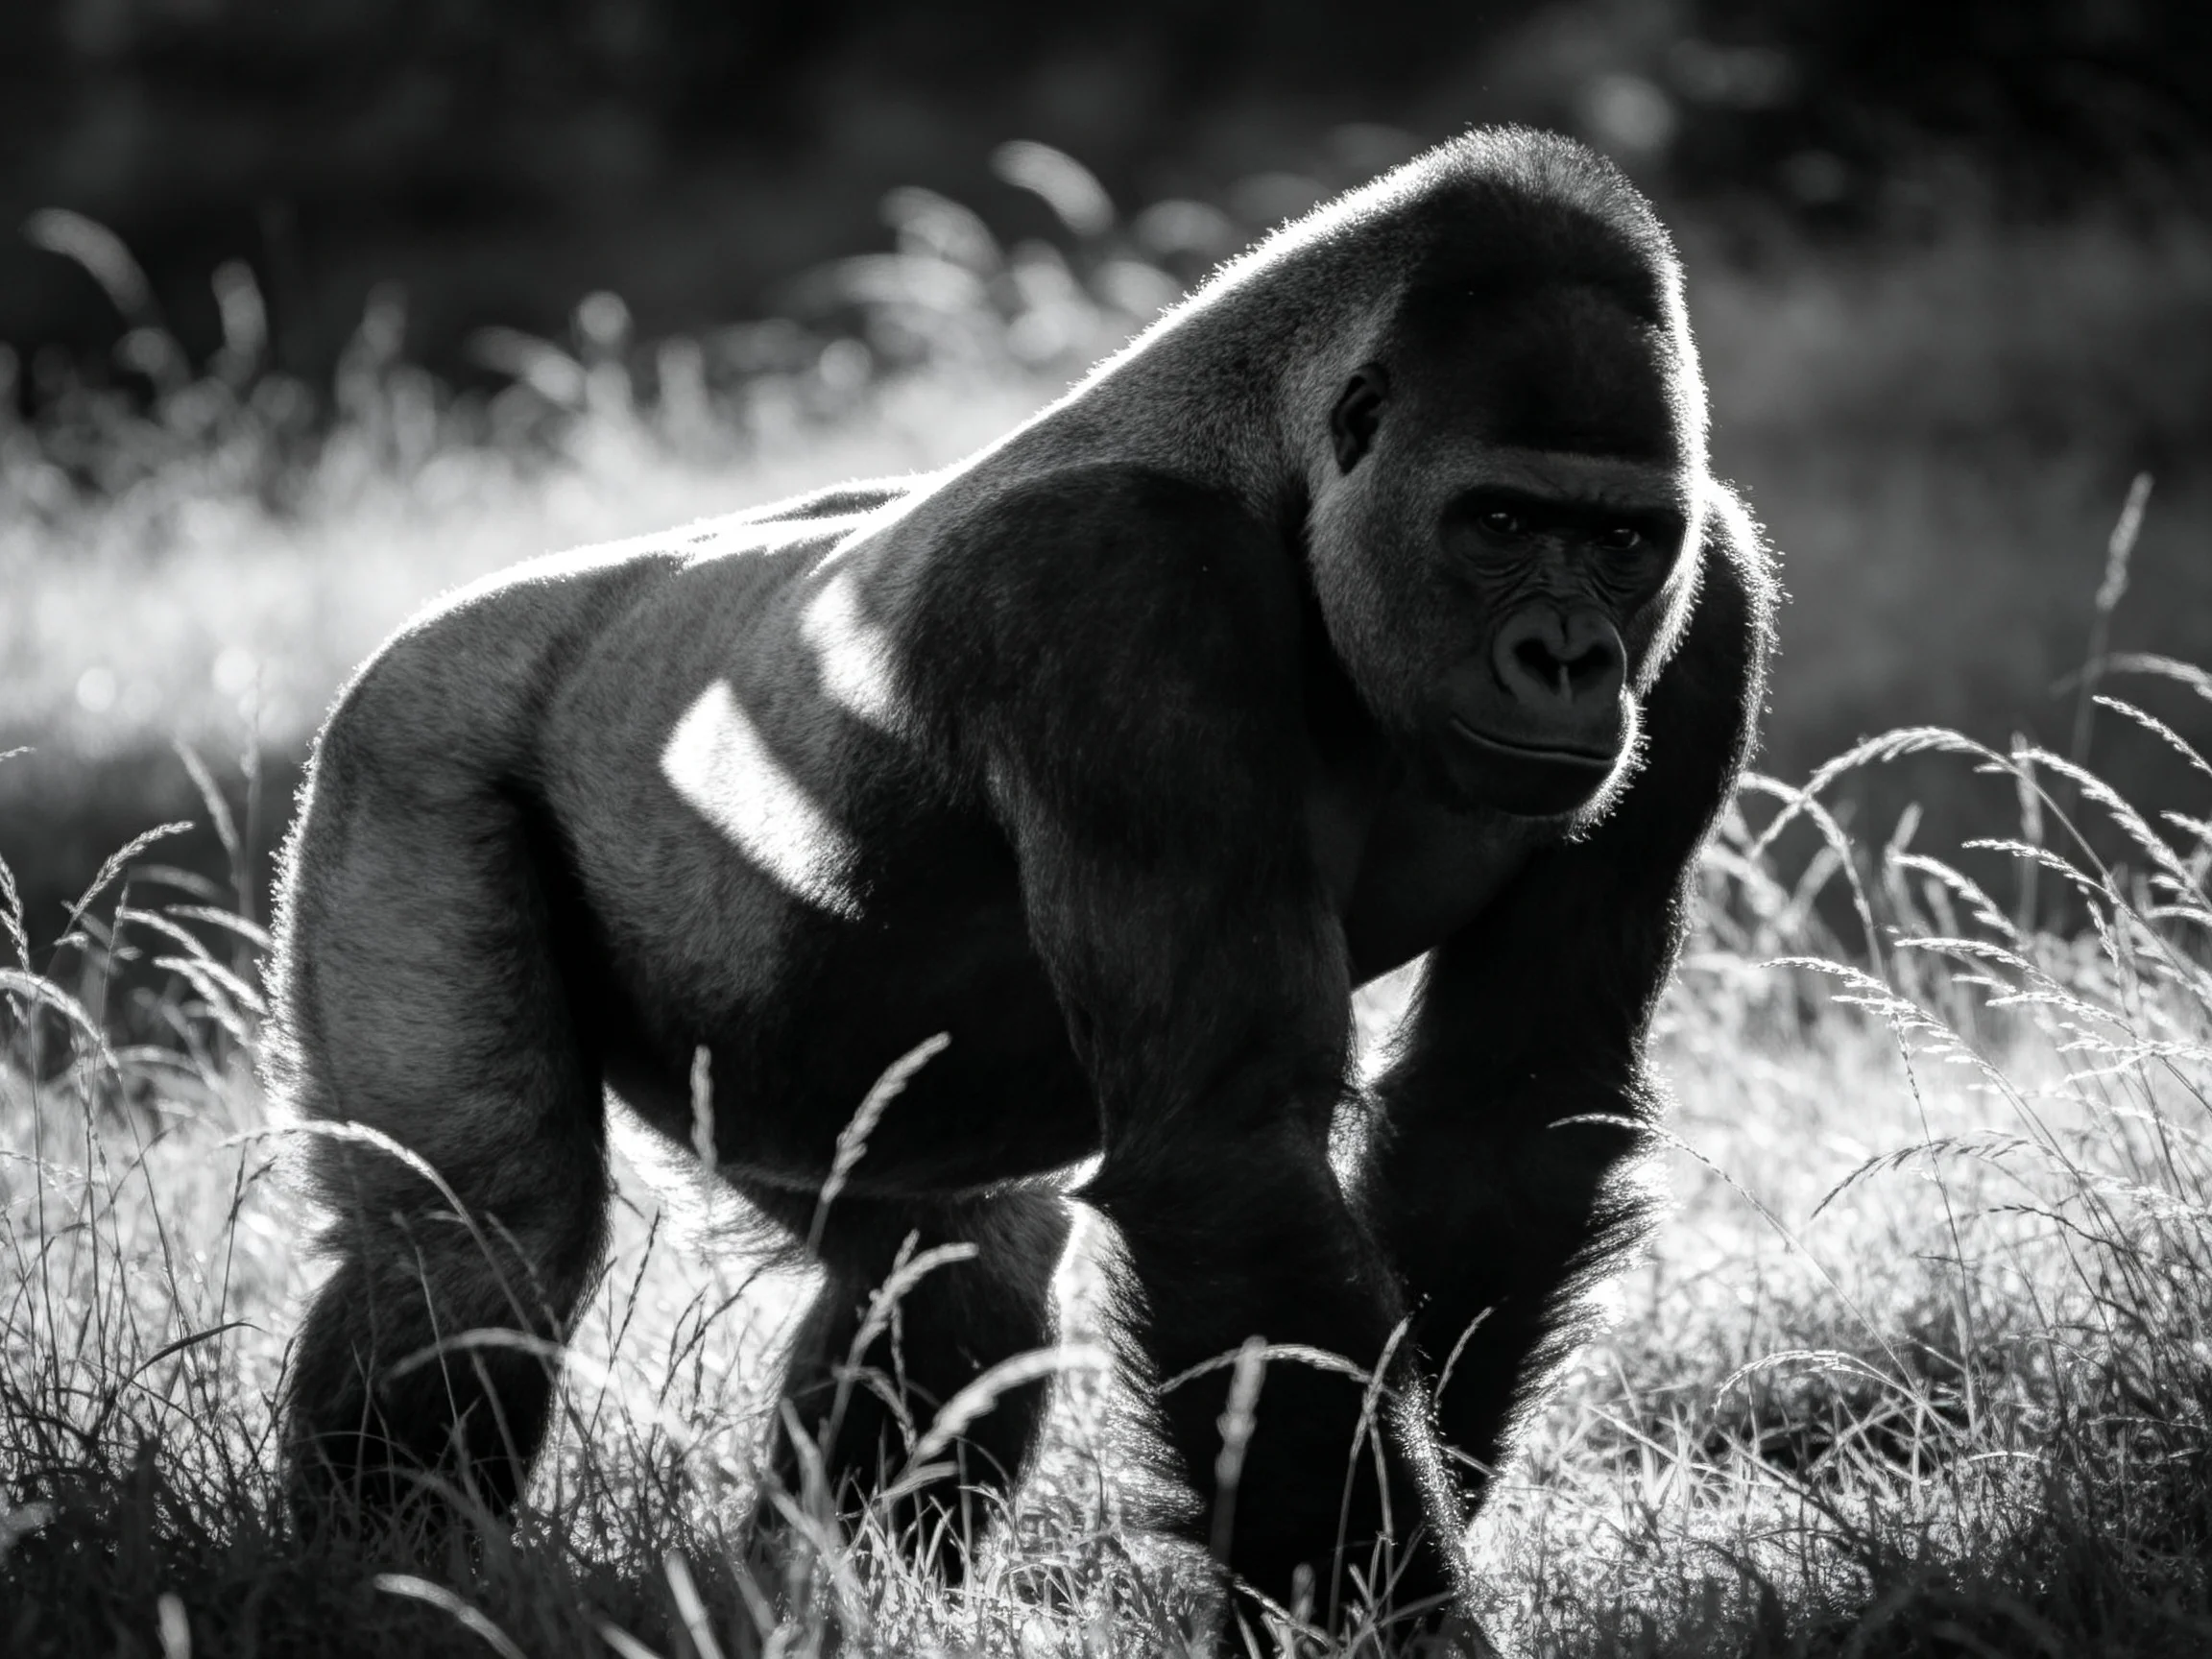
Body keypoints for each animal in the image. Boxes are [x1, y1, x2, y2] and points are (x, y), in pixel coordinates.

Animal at [268, 126, 1775, 1637]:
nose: (1567, 660)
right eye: (1500, 521)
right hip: (408, 750)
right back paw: (373, 1577)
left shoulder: (1709, 609)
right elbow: (1235, 1156)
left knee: (953, 1270)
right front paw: (1376, 1614)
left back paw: (817, 1590)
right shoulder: (1119, 593)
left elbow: (1502, 1118)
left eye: (1623, 542)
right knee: (474, 1241)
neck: (1283, 487)